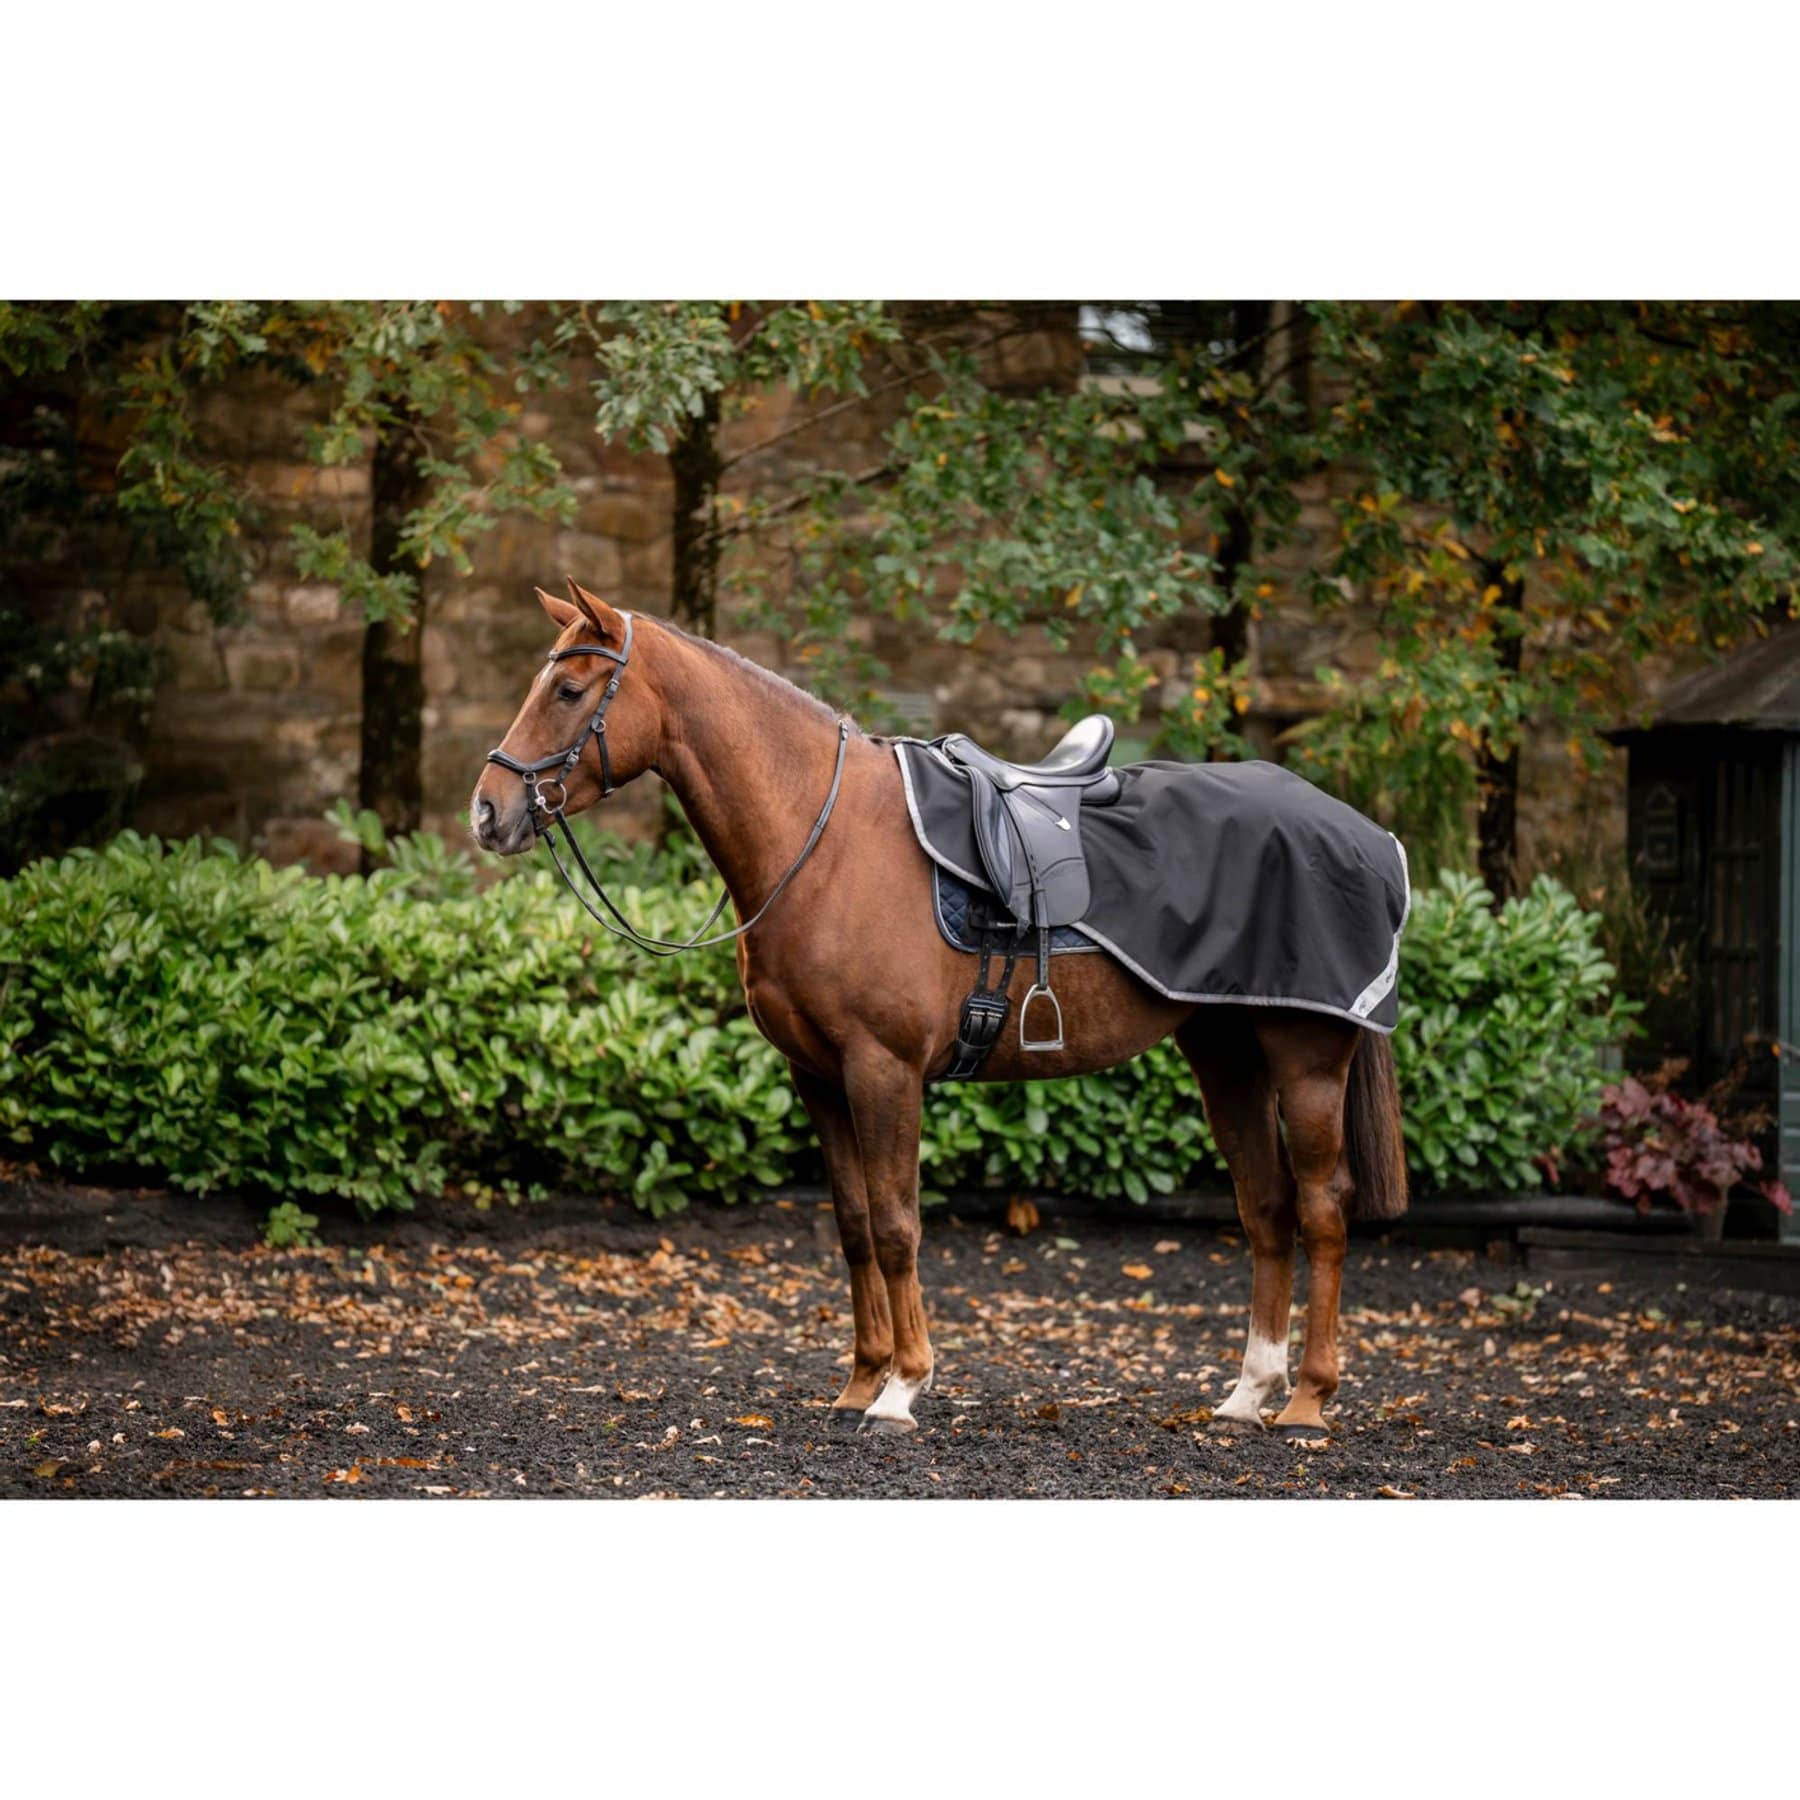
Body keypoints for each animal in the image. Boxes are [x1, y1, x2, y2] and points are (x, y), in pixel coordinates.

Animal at [470, 580, 1409, 1439]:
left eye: (569, 690)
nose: (489, 811)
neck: (825, 840)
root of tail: (1365, 834)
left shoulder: (882, 1069)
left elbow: (896, 1225)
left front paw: (902, 1388)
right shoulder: (818, 1076)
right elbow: (853, 1225)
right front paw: (859, 1381)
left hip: (1306, 1056)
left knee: (1323, 1208)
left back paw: (1307, 1399)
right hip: (1228, 1055)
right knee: (1267, 1207)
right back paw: (1248, 1394)